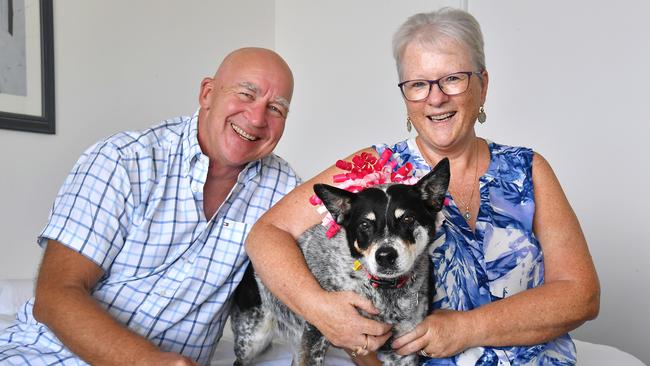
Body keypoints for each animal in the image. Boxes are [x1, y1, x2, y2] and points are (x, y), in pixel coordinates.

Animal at [230, 158, 448, 366]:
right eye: (365, 224)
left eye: (408, 219)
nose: (385, 256)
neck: (383, 292)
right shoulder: (318, 334)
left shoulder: (402, 350)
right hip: (252, 338)